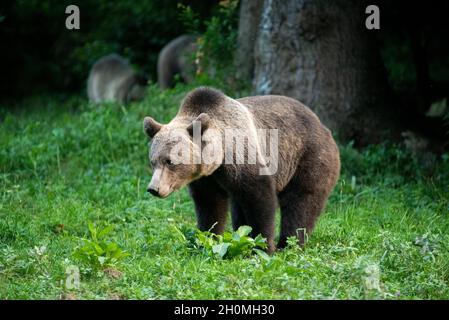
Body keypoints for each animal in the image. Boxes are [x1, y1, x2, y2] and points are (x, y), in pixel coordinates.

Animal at [142, 87, 338, 252]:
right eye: (153, 162)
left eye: (170, 161)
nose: (154, 188)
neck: (218, 157)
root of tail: (323, 126)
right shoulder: (206, 179)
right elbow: (210, 206)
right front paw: (208, 239)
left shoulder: (242, 159)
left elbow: (259, 200)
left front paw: (262, 246)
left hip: (307, 157)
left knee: (301, 203)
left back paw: (289, 244)